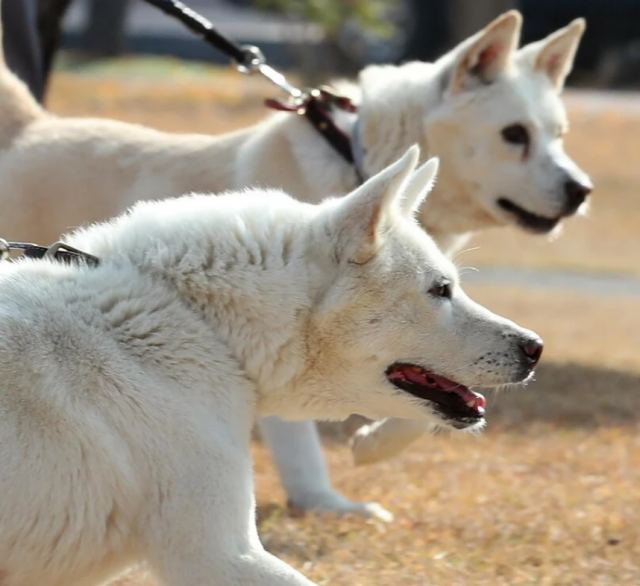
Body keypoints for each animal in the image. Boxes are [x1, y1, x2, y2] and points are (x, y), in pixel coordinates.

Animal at [0, 8, 592, 512]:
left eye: (559, 135)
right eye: (515, 135)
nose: (581, 191)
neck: (354, 160)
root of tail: (29, 127)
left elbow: (428, 398)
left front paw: (372, 445)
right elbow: (305, 439)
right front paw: (327, 500)